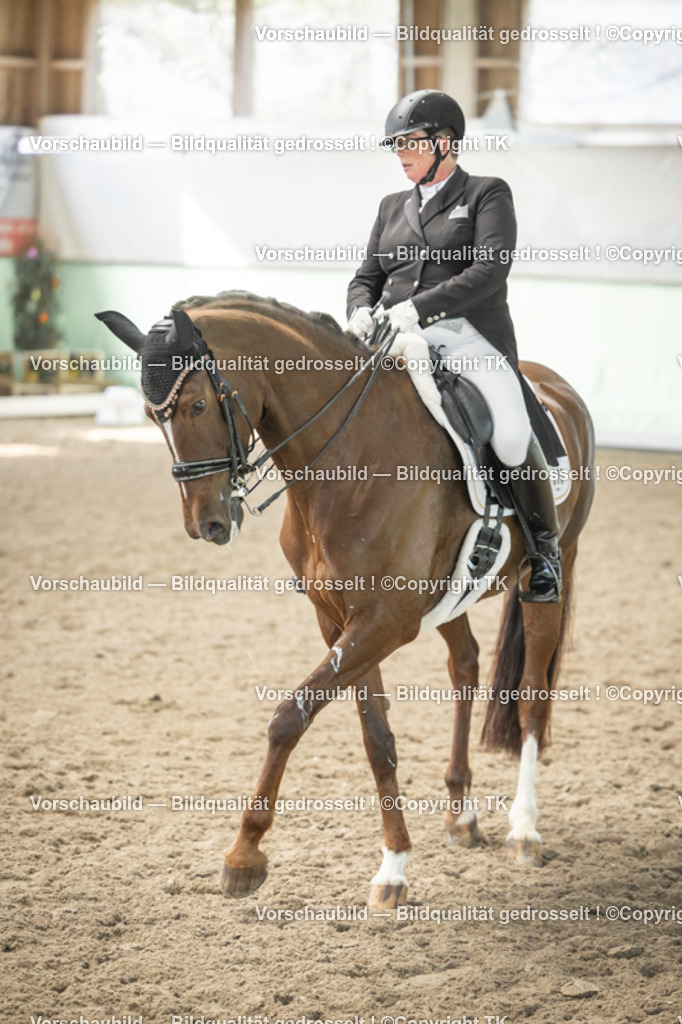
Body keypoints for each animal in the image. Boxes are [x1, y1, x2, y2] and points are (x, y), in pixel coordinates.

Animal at [96, 290, 595, 911]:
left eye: (195, 406)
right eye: (150, 417)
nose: (205, 524)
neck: (345, 457)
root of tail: (556, 385)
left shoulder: (385, 621)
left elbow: (288, 717)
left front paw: (244, 855)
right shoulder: (339, 620)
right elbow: (375, 738)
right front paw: (394, 867)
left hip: (552, 568)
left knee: (531, 696)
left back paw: (524, 830)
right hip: (449, 599)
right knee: (466, 666)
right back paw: (460, 815)